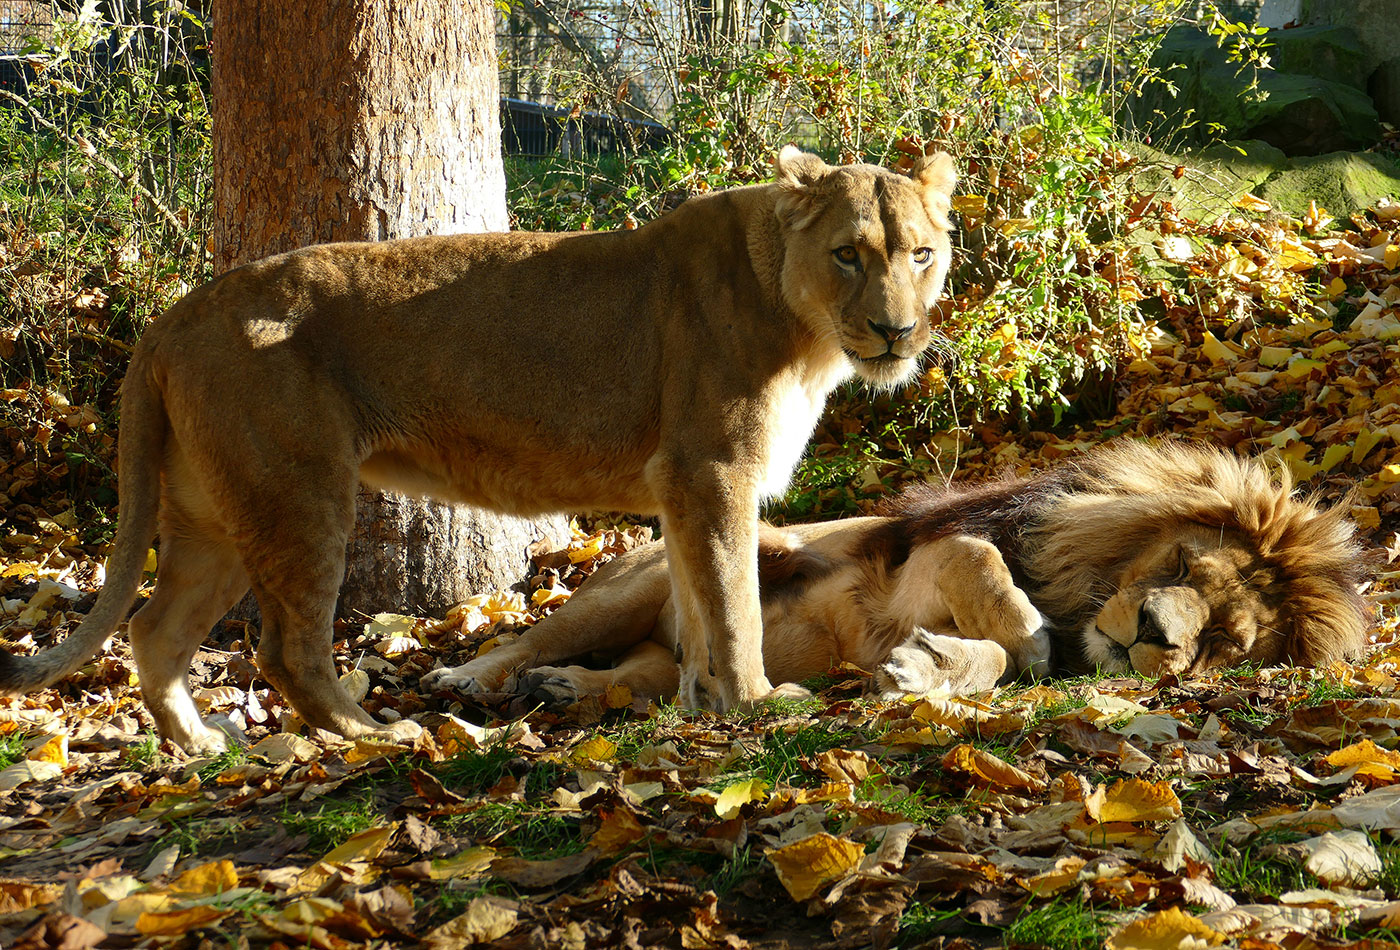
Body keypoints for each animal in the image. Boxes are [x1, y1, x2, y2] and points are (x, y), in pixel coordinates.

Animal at [0, 146, 957, 749]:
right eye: (849, 254)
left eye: (921, 254)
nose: (897, 331)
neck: (803, 324)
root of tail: (173, 316)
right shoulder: (709, 469)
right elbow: (734, 603)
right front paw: (758, 704)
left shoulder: (681, 487)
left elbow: (696, 598)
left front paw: (700, 706)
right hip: (298, 491)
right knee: (284, 650)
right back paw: (377, 735)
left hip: (215, 510)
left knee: (154, 629)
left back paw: (204, 744)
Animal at [431, 442, 1372, 702]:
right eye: (1178, 560)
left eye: (1224, 643)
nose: (1149, 633)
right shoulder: (931, 555)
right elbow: (988, 572)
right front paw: (1024, 640)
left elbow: (987, 659)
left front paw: (925, 669)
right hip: (639, 585)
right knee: (523, 641)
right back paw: (468, 677)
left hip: (668, 650)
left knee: (651, 678)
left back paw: (570, 690)